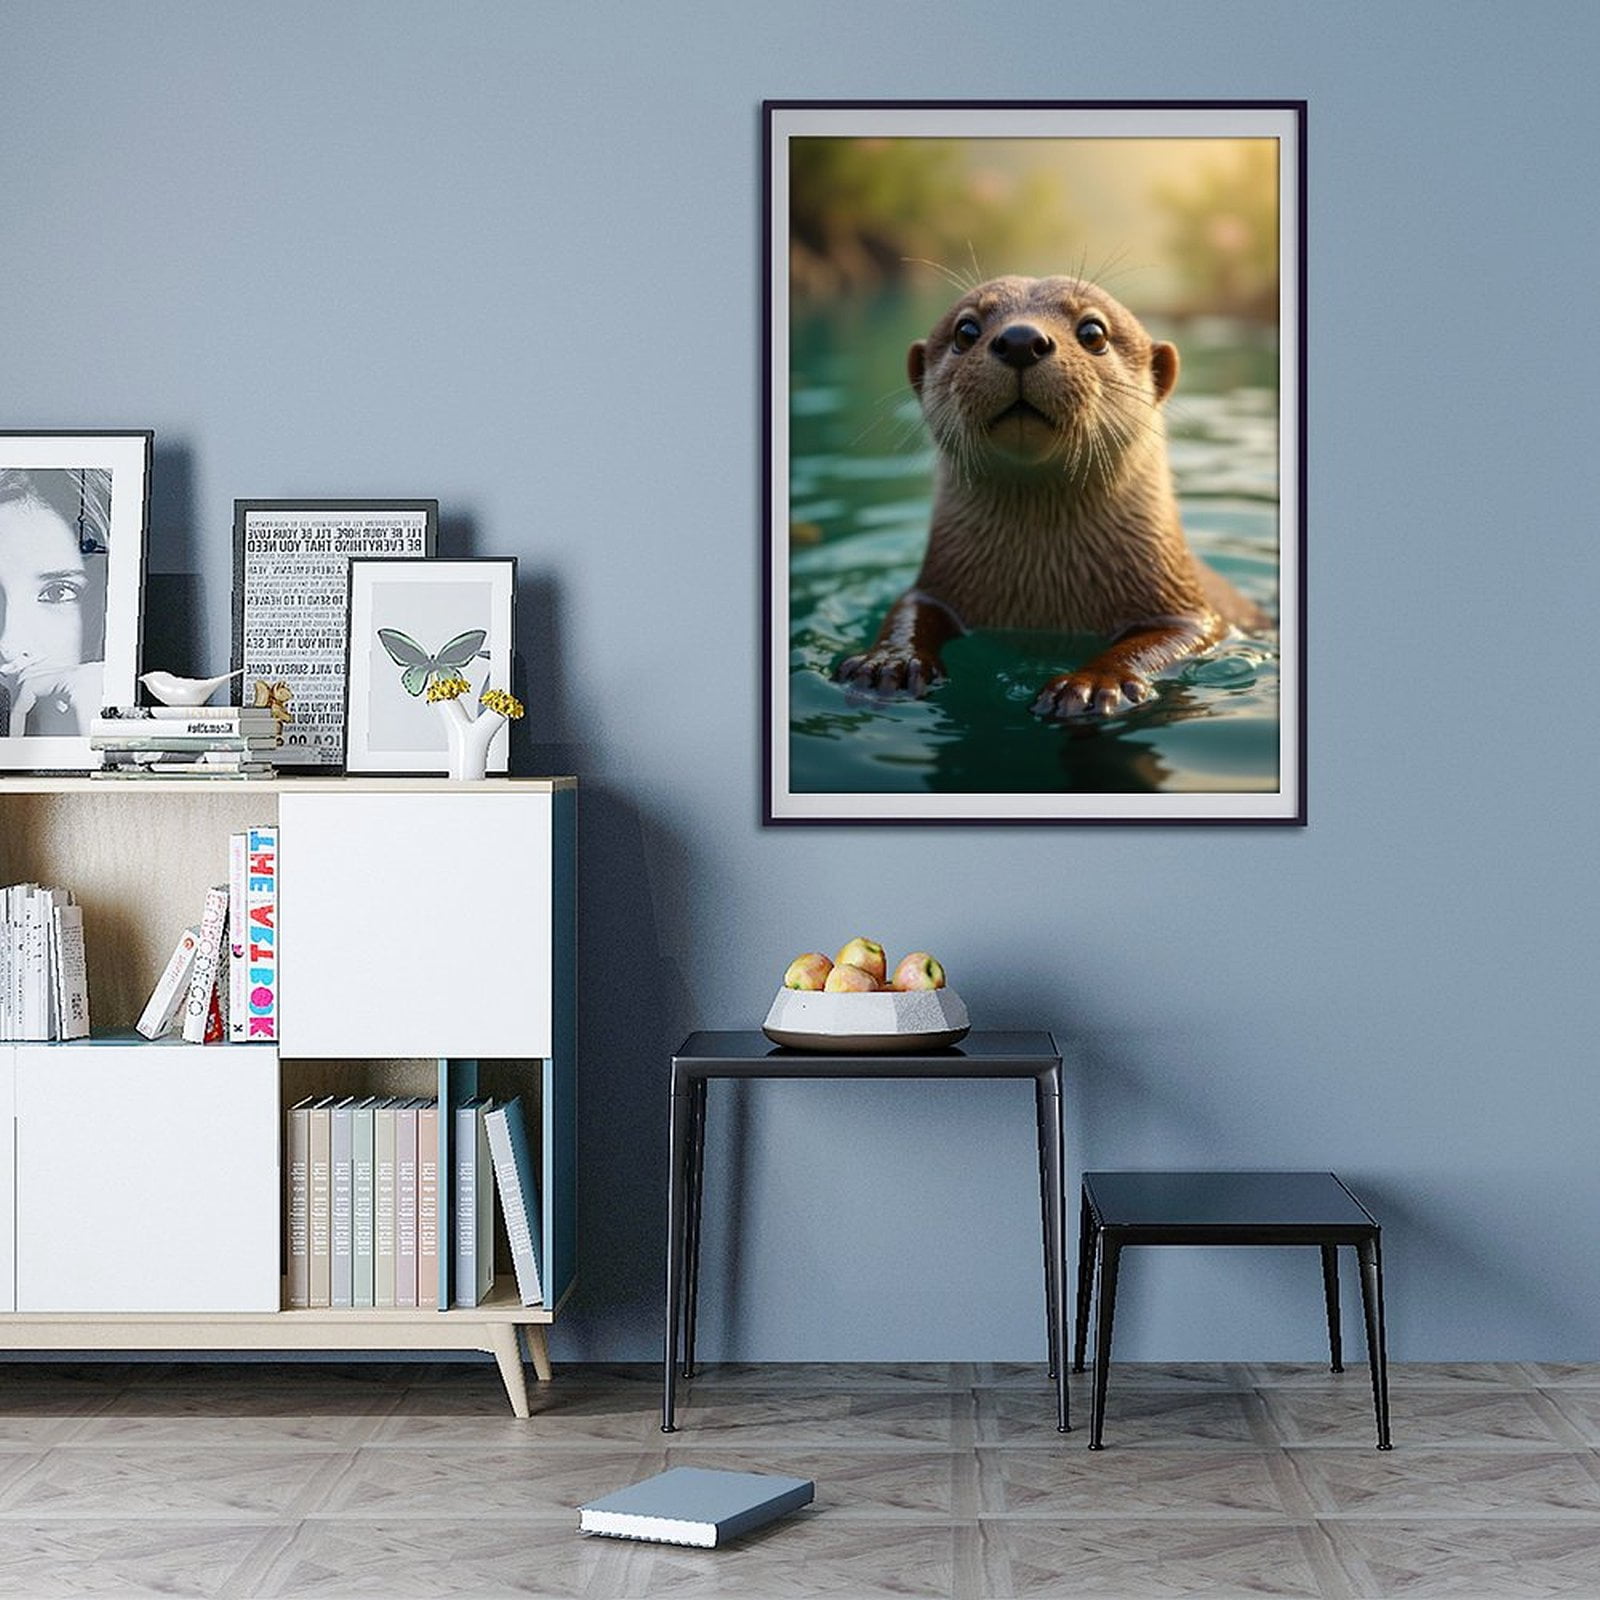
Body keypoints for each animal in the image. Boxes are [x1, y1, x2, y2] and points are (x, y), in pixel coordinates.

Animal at [834, 275, 1267, 719]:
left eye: (1093, 332)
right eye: (965, 330)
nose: (1020, 339)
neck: (1044, 593)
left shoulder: (1185, 606)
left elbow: (1170, 636)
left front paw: (1095, 684)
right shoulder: (935, 586)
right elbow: (908, 609)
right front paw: (889, 662)